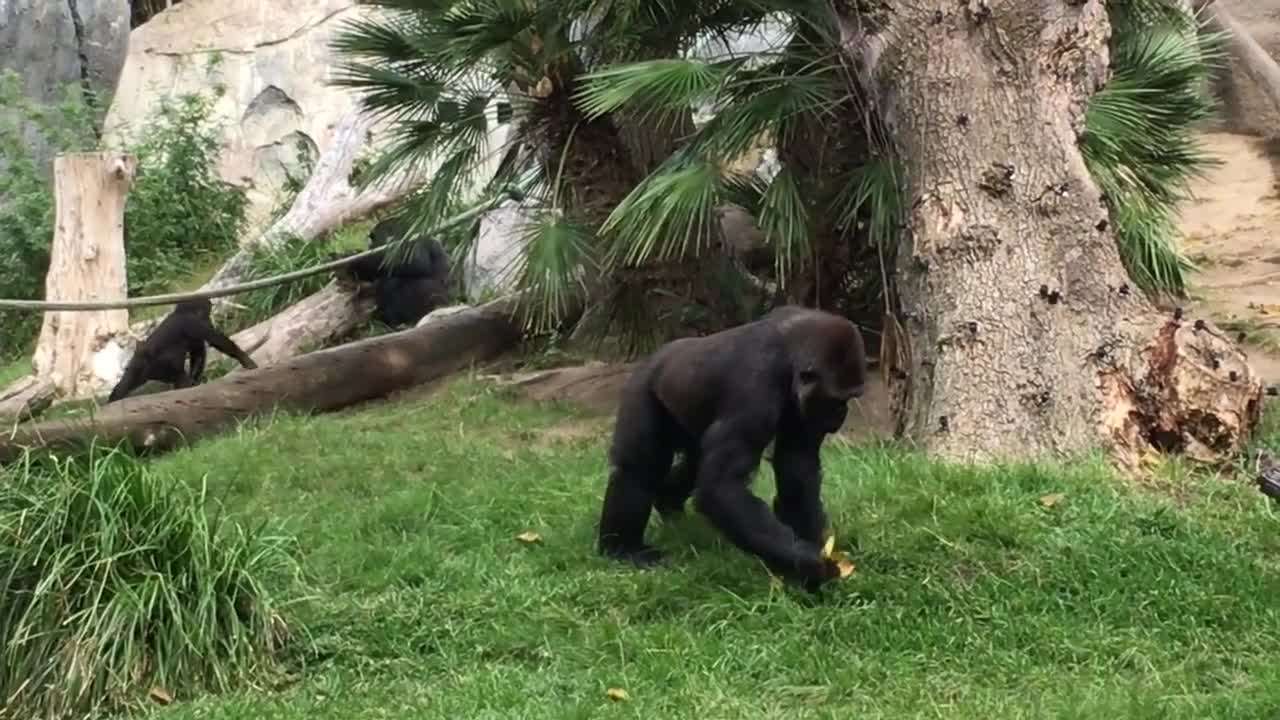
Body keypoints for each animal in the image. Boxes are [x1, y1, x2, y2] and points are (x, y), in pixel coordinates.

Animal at [110, 294, 259, 399]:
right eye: (207, 313)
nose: (209, 320)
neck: (183, 312)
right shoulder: (193, 323)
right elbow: (216, 341)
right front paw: (245, 359)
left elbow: (198, 353)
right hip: (158, 366)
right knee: (177, 371)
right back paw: (184, 387)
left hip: (136, 370)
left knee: (123, 386)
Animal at [593, 302, 865, 589]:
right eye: (836, 400)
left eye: (850, 398)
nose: (842, 414)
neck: (790, 355)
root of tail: (656, 355)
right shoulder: (756, 388)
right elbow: (721, 485)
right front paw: (807, 563)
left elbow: (797, 466)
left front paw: (809, 551)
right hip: (641, 386)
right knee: (638, 468)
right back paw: (622, 548)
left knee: (692, 463)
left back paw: (667, 503)